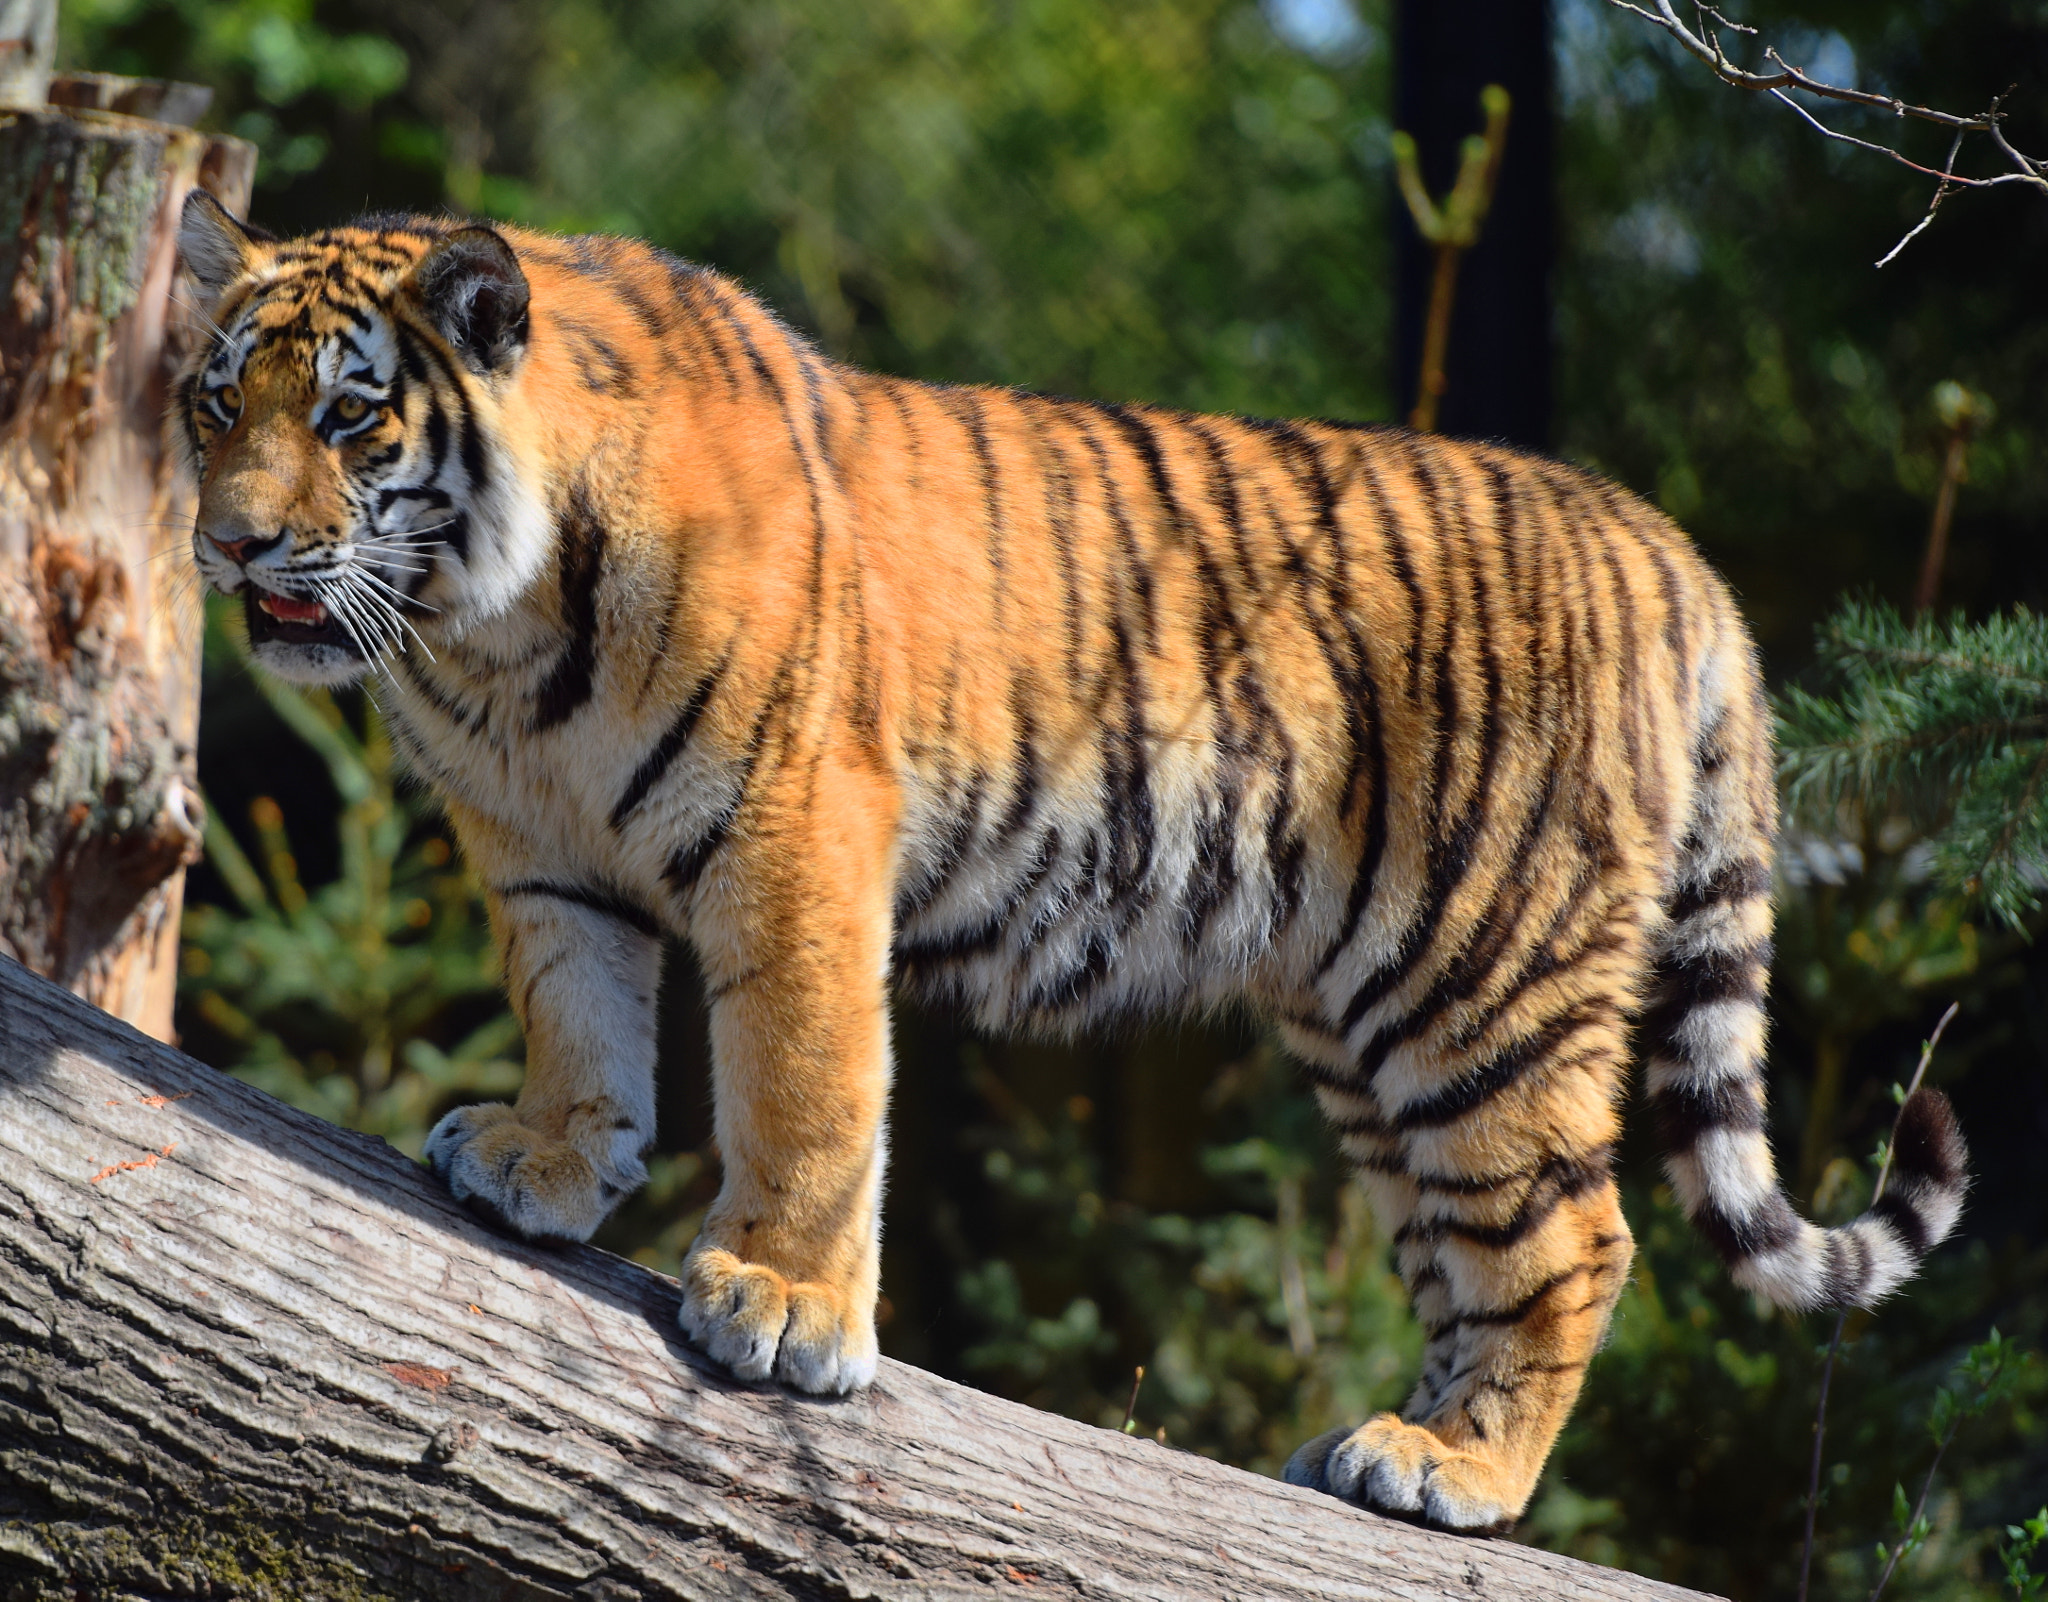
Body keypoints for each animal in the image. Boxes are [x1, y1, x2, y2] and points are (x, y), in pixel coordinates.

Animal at [174, 189, 1967, 1532]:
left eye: (350, 415)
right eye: (214, 403)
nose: (229, 543)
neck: (492, 639)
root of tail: (1670, 549)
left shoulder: (795, 830)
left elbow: (804, 1085)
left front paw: (784, 1304)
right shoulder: (544, 848)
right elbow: (579, 1010)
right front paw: (548, 1160)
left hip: (1477, 980)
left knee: (1577, 1239)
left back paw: (1455, 1470)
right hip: (1363, 1027)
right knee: (1467, 1251)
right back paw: (1374, 1452)